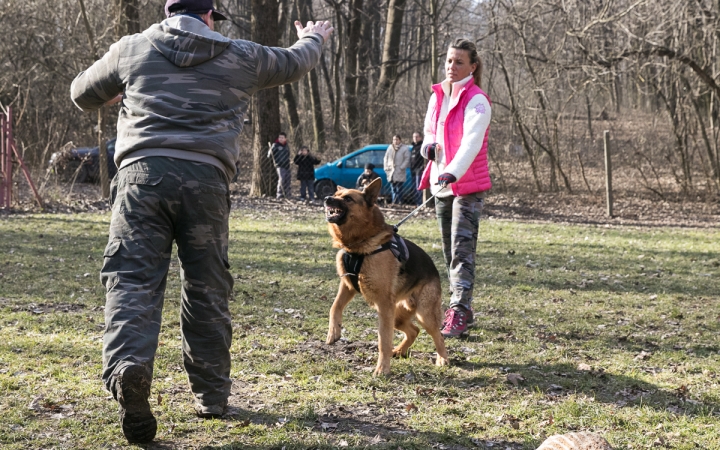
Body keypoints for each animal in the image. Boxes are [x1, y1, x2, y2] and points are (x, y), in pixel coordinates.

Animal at [324, 178, 448, 374]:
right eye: (336, 195)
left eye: (348, 199)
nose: (327, 198)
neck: (360, 244)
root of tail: (434, 270)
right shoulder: (348, 286)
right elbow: (334, 307)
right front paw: (333, 332)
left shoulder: (382, 304)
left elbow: (383, 340)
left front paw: (382, 369)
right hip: (397, 316)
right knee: (414, 330)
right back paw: (400, 350)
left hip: (423, 315)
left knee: (438, 335)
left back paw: (442, 358)